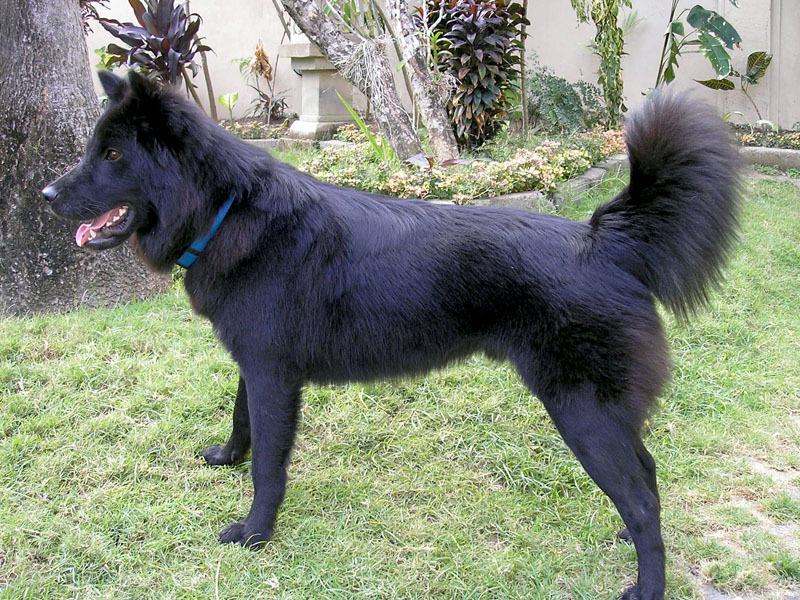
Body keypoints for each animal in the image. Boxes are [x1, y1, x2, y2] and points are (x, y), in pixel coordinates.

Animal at [43, 70, 739, 600]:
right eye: (95, 149)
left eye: (112, 156)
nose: (46, 194)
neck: (226, 210)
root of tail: (606, 242)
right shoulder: (255, 365)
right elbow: (241, 421)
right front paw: (226, 457)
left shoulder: (273, 375)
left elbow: (270, 464)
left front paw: (255, 533)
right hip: (604, 412)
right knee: (646, 474)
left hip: (581, 412)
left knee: (642, 498)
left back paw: (648, 585)